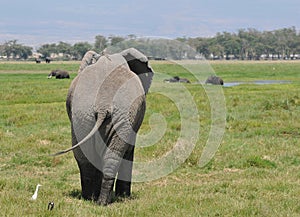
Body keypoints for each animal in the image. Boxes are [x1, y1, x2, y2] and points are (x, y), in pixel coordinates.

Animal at [52, 47, 154, 205]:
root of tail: (102, 104)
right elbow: (129, 150)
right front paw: (124, 196)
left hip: (84, 116)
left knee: (87, 157)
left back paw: (92, 199)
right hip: (110, 115)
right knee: (111, 156)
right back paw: (101, 200)